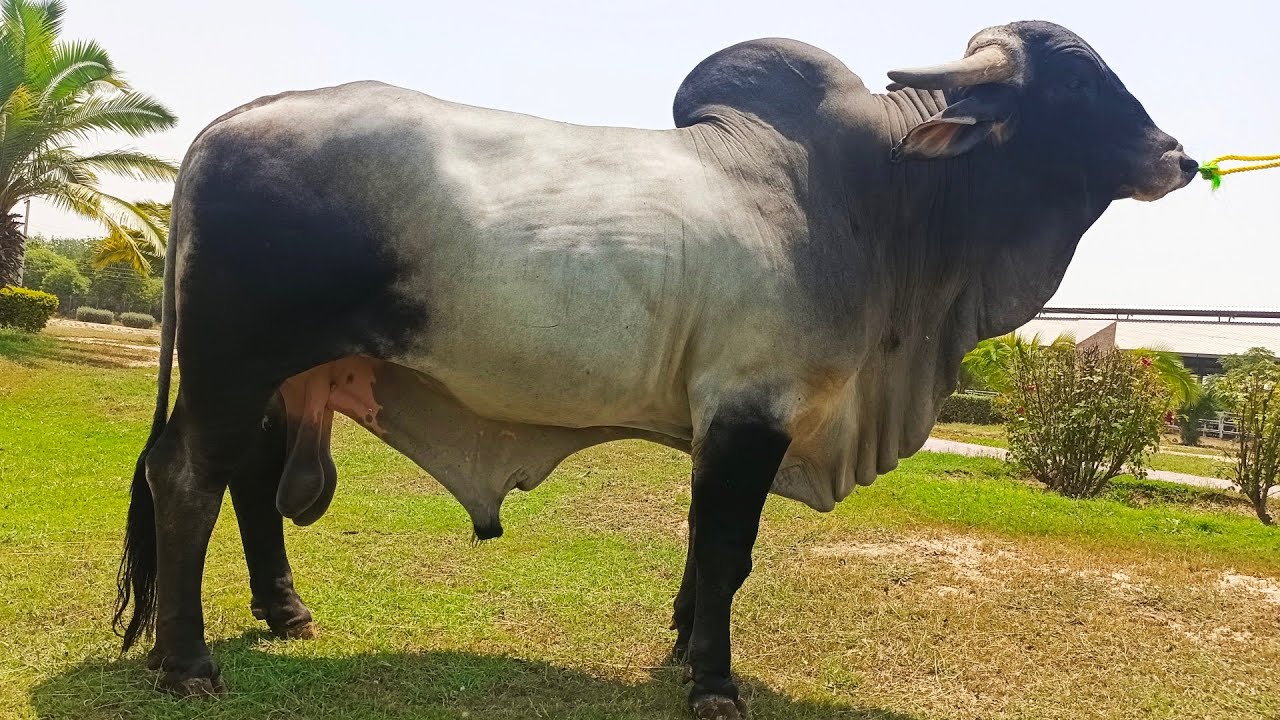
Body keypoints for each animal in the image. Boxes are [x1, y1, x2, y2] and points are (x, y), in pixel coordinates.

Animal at [114, 20, 1195, 719]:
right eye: (1077, 86)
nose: (1179, 157)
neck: (878, 202)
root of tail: (223, 128)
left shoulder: (723, 421)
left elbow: (708, 551)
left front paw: (681, 647)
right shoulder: (752, 410)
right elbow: (726, 550)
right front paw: (713, 682)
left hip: (284, 377)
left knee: (249, 482)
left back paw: (285, 613)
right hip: (232, 365)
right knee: (187, 479)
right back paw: (187, 663)